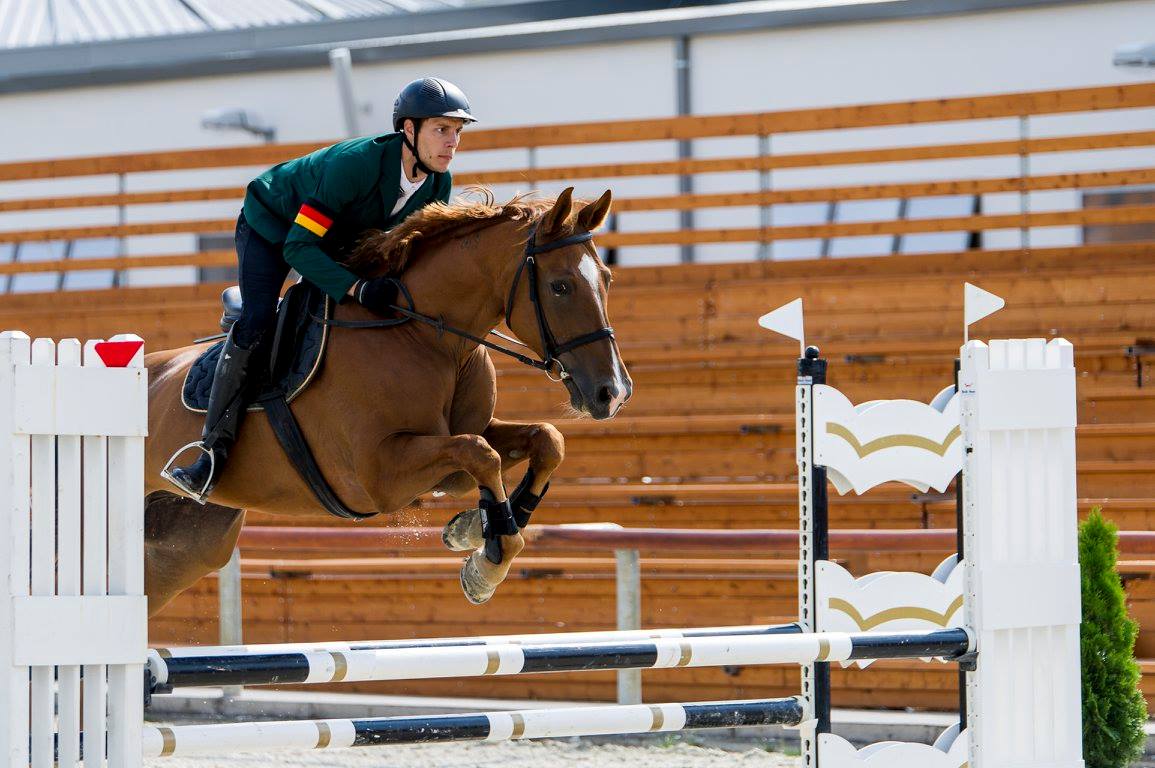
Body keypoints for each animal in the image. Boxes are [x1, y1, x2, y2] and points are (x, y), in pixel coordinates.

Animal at [145, 190, 637, 619]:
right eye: (560, 286)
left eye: (608, 279)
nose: (612, 392)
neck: (425, 335)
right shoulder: (378, 475)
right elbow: (481, 453)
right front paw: (487, 561)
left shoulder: (459, 445)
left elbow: (543, 441)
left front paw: (474, 530)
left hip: (188, 546)